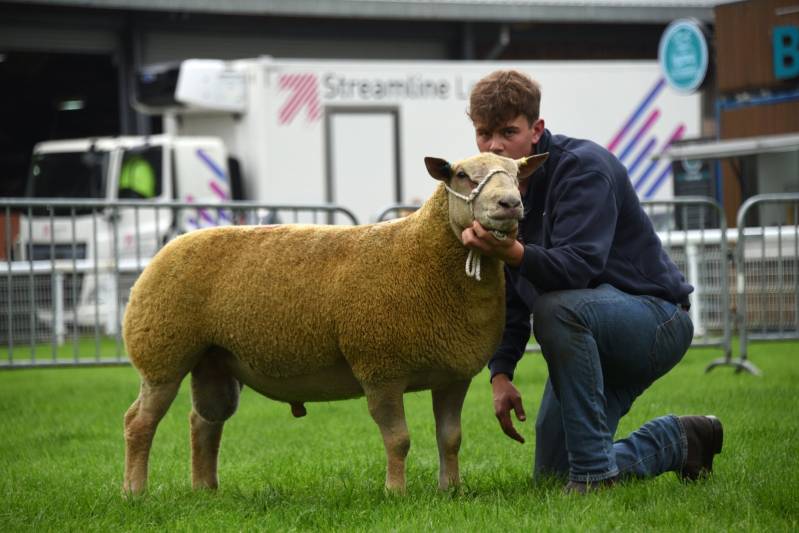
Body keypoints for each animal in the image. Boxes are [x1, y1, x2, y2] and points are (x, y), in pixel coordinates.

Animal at [122, 151, 552, 494]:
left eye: (516, 173)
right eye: (462, 175)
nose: (510, 203)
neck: (424, 254)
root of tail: (170, 246)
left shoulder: (452, 375)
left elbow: (450, 438)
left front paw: (451, 490)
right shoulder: (380, 369)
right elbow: (398, 440)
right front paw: (396, 493)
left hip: (214, 360)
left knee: (204, 422)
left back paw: (205, 490)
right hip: (162, 352)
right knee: (139, 422)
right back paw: (135, 492)